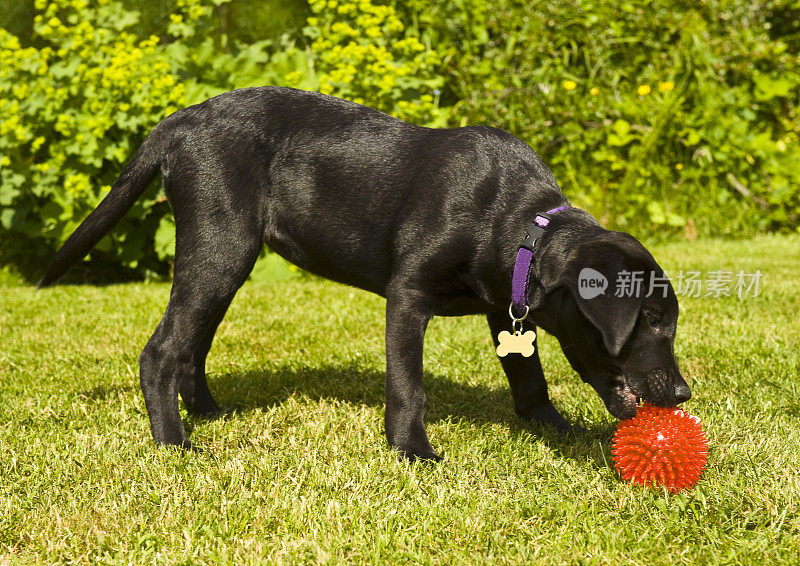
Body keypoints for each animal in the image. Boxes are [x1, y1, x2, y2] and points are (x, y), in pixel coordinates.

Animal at [37, 87, 692, 462]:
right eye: (650, 318)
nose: (685, 393)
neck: (518, 224)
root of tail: (180, 121)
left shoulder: (503, 310)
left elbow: (529, 378)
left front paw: (554, 429)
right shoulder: (407, 296)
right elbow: (408, 385)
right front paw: (413, 453)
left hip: (223, 260)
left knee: (190, 345)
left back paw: (209, 414)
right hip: (219, 246)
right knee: (162, 350)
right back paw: (174, 444)